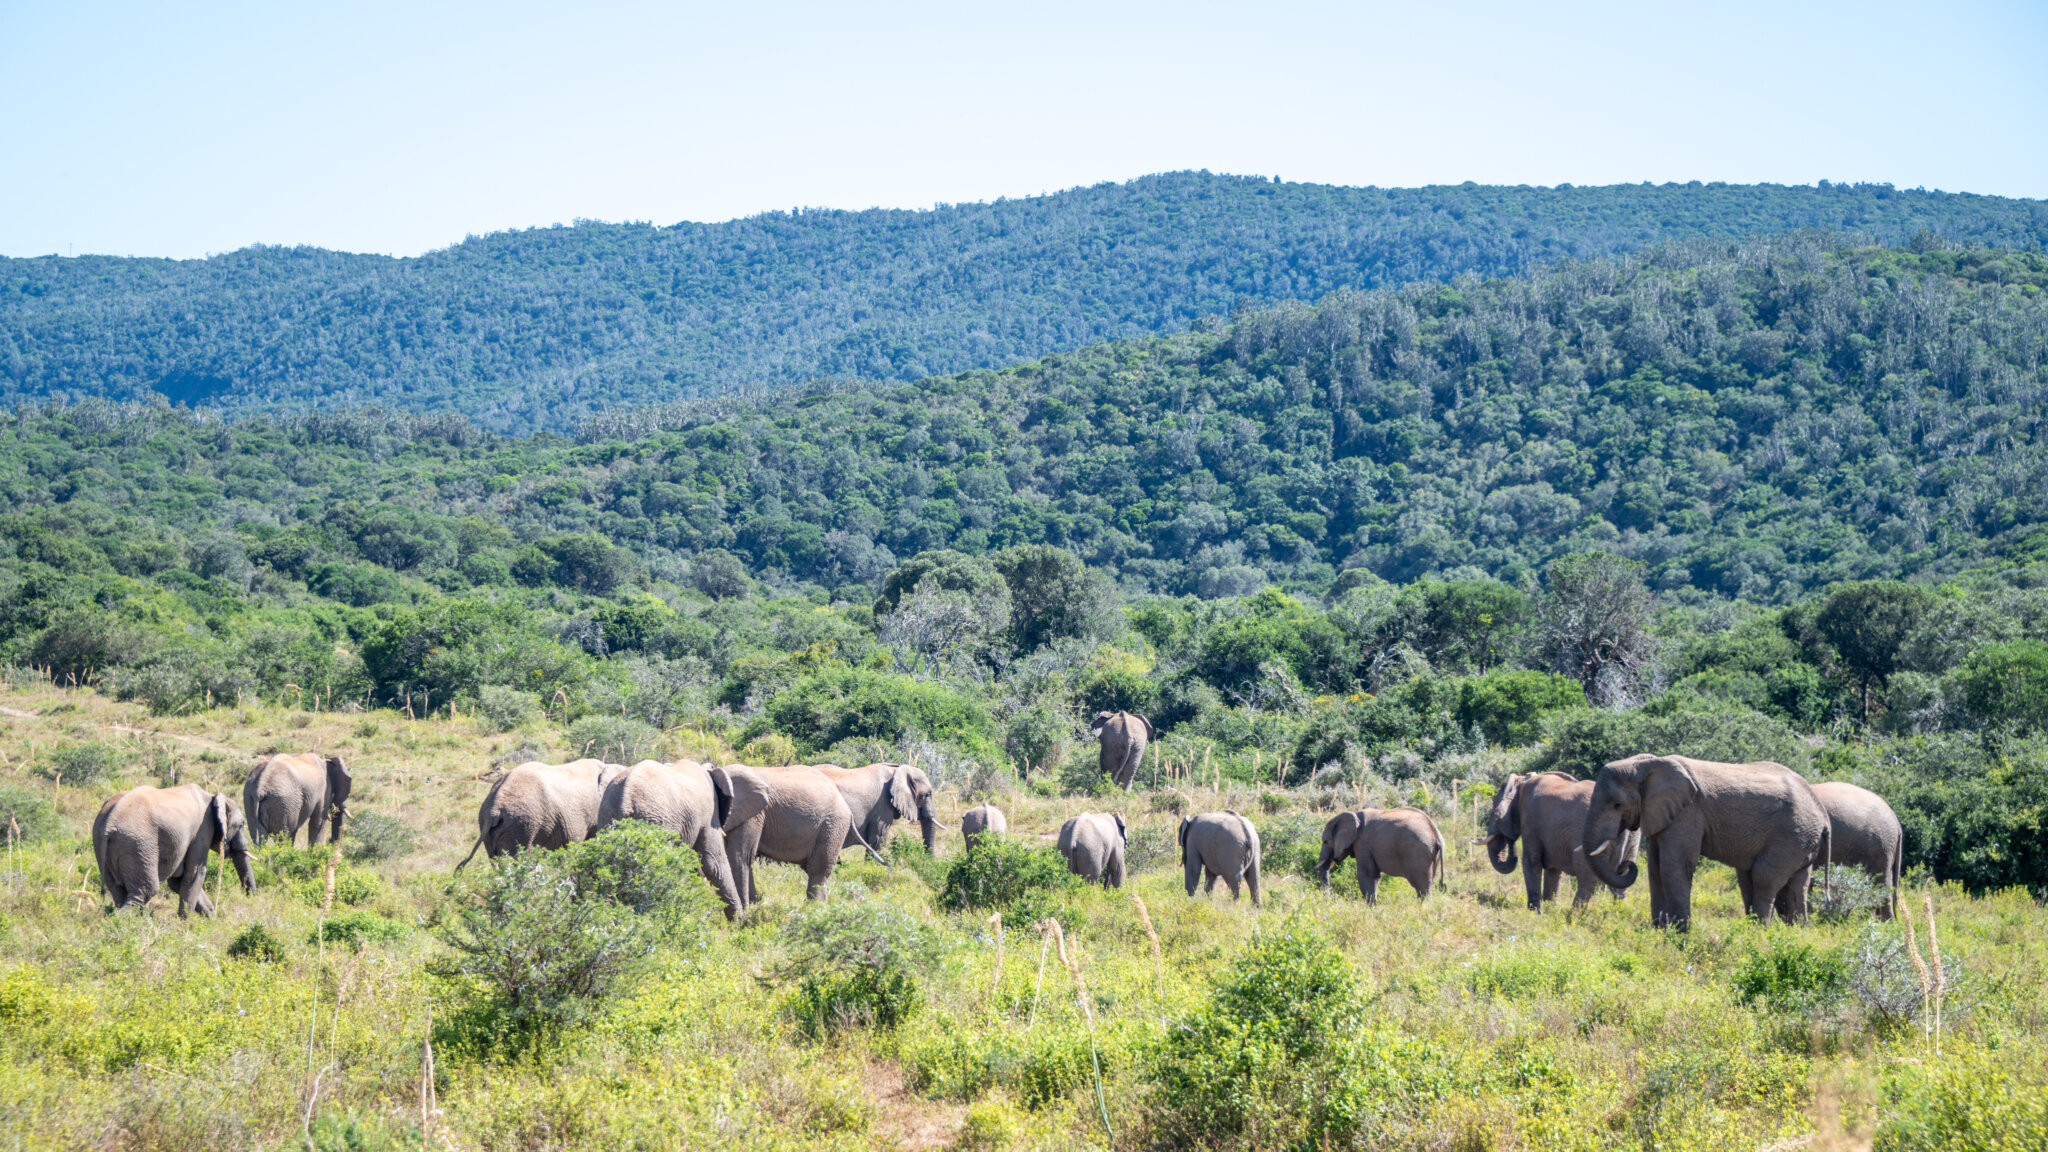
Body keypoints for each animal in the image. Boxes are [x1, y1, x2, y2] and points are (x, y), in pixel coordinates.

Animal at [92, 784, 254, 916]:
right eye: (241, 825)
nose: (249, 897)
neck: (212, 796)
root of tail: (109, 822)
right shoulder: (203, 830)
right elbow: (195, 874)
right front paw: (187, 925)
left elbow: (179, 881)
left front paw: (209, 919)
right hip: (137, 844)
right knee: (145, 891)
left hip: (102, 844)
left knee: (118, 890)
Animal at [596, 758, 744, 919]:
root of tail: (626, 797)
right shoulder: (709, 814)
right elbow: (713, 862)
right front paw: (740, 922)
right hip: (656, 822)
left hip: (608, 817)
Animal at [716, 764, 881, 906]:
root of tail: (846, 807)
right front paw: (753, 905)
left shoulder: (754, 814)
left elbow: (740, 856)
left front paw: (746, 911)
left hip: (833, 825)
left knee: (818, 869)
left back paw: (815, 908)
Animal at [1486, 772, 1637, 912]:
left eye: (1495, 808)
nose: (1510, 839)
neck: (1523, 779)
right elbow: (1553, 870)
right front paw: (1550, 910)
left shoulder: (1530, 820)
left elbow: (1531, 861)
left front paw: (1534, 913)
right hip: (1633, 839)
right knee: (1622, 883)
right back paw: (1620, 912)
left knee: (1587, 879)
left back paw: (1574, 917)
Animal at [1581, 753, 1831, 931]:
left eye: (1617, 805)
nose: (1626, 865)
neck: (1647, 764)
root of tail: (1823, 813)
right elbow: (1654, 868)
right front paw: (1659, 931)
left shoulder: (1688, 813)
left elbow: (1673, 865)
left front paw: (1680, 935)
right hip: (1801, 838)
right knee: (1791, 884)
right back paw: (1795, 934)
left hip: (1792, 834)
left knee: (1763, 878)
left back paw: (1759, 933)